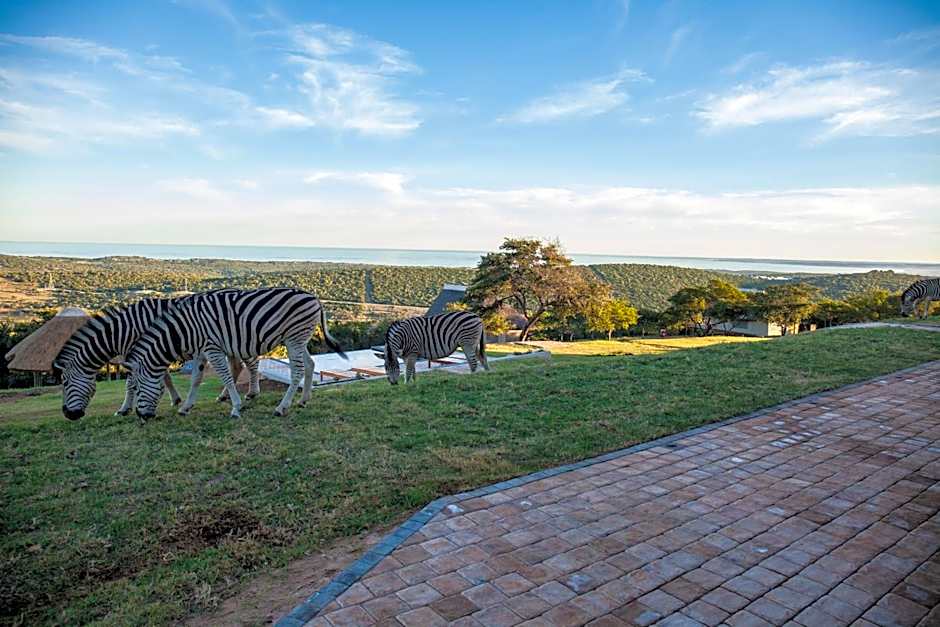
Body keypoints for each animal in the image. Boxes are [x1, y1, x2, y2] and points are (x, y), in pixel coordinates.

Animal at [54, 295, 259, 420]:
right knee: (237, 366)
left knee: (251, 363)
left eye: (65, 382)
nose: (67, 414)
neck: (124, 330)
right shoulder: (150, 354)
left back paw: (252, 392)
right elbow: (165, 378)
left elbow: (130, 383)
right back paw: (224, 395)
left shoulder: (138, 353)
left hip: (237, 341)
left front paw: (124, 408)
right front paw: (175, 399)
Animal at [127, 287, 345, 419]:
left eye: (137, 388)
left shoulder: (212, 348)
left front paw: (236, 407)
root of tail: (315, 298)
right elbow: (196, 379)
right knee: (310, 365)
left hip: (294, 338)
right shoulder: (201, 352)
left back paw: (282, 407)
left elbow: (226, 377)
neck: (184, 329)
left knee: (298, 370)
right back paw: (303, 400)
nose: (141, 416)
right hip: (299, 340)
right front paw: (185, 407)